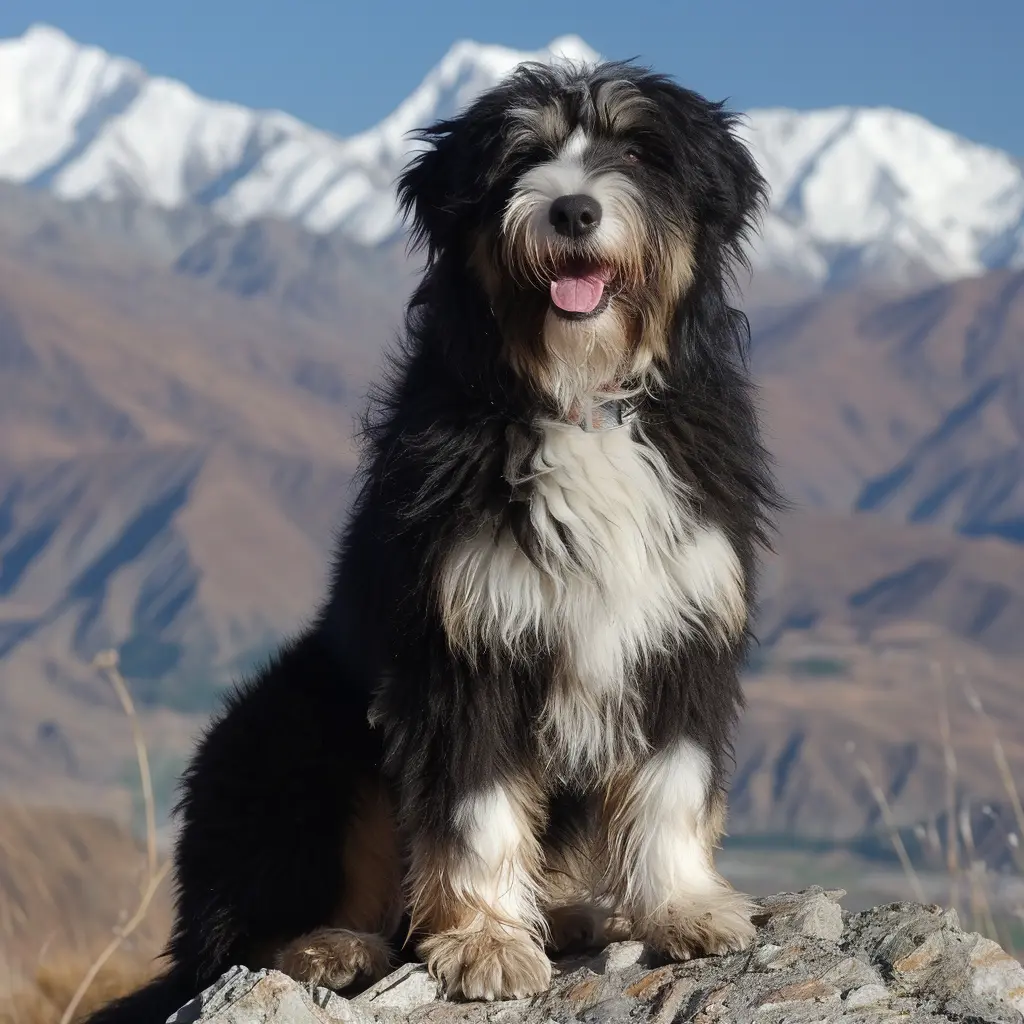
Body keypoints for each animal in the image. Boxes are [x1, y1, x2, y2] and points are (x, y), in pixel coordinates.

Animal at [88, 59, 774, 1019]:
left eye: (639, 151)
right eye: (521, 157)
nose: (572, 212)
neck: (578, 399)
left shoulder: (683, 629)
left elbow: (672, 781)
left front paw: (681, 906)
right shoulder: (460, 647)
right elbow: (474, 807)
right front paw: (485, 941)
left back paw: (565, 913)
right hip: (292, 730)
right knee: (231, 936)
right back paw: (330, 945)